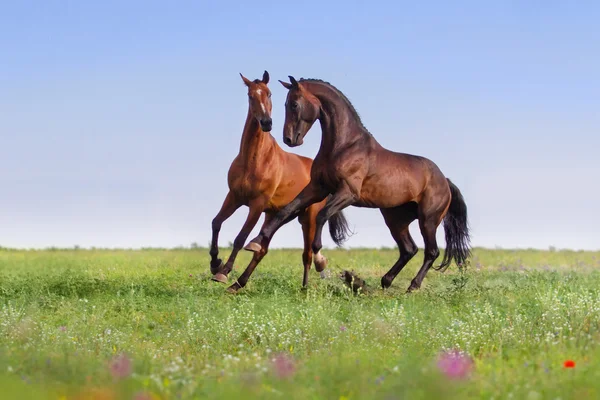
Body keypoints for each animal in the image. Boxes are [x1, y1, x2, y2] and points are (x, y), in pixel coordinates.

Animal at [211, 71, 352, 290]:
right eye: (250, 96)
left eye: (269, 94)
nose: (266, 123)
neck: (254, 159)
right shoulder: (234, 197)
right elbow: (216, 223)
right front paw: (215, 264)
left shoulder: (256, 204)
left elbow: (240, 238)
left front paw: (223, 272)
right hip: (277, 215)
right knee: (262, 249)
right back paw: (239, 283)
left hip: (308, 218)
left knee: (306, 254)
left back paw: (305, 286)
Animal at [241, 76, 472, 294]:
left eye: (294, 104)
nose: (289, 139)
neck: (344, 145)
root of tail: (445, 180)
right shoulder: (317, 188)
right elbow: (285, 211)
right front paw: (255, 241)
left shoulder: (347, 193)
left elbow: (322, 215)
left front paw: (320, 259)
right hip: (396, 219)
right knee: (408, 249)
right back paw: (385, 282)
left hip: (428, 220)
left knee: (431, 251)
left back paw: (412, 287)